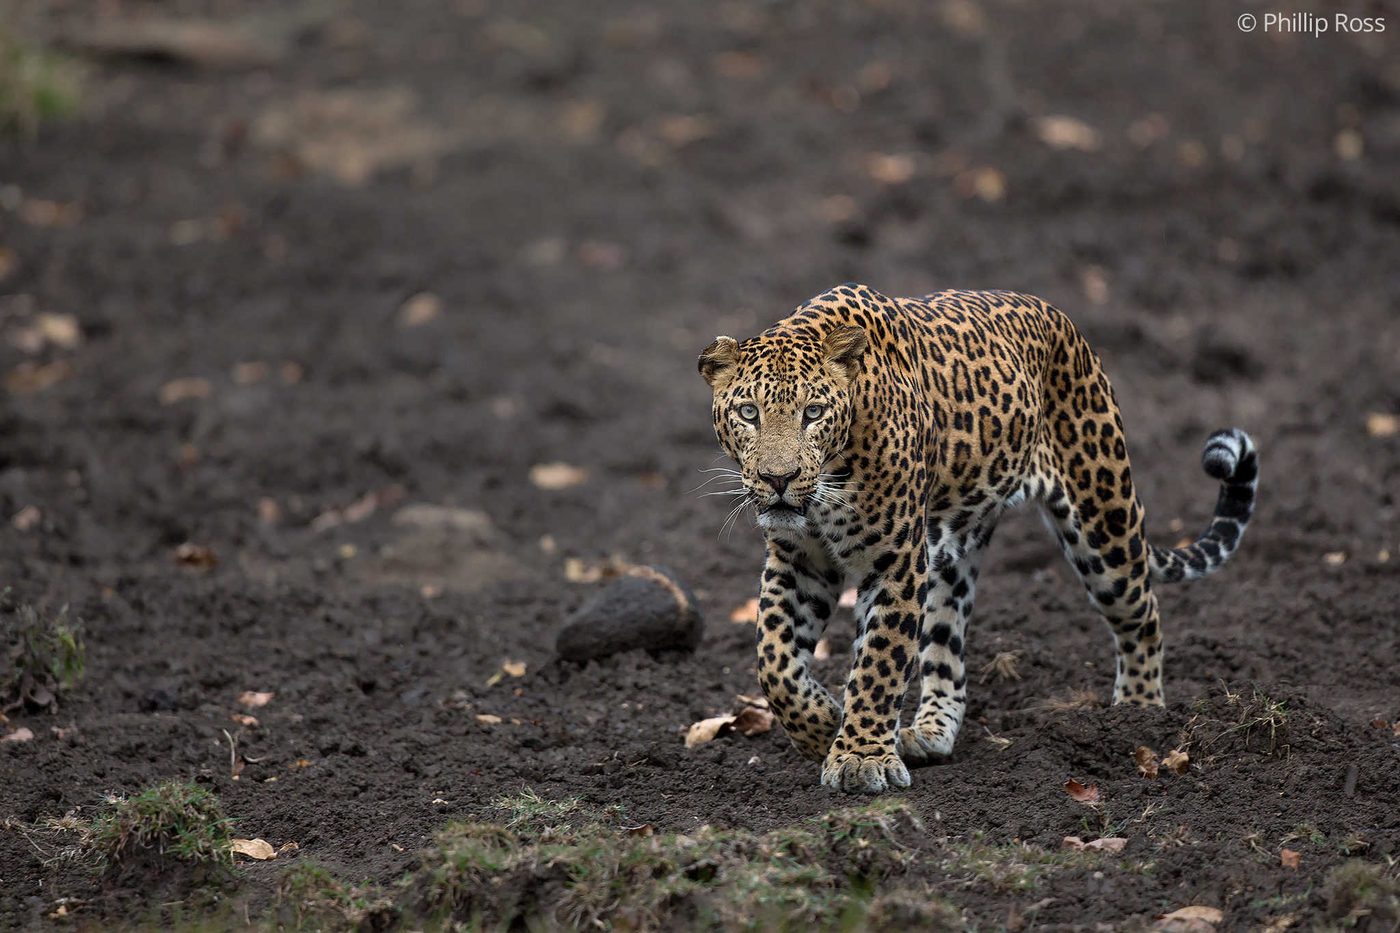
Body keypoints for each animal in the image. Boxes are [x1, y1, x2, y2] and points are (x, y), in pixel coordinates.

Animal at [698, 284, 1258, 794]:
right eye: (748, 413)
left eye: (813, 413)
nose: (778, 479)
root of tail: (1062, 320)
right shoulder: (799, 562)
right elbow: (774, 661)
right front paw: (822, 728)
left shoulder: (896, 563)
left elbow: (879, 662)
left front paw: (860, 757)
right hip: (951, 556)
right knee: (946, 649)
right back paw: (928, 732)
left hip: (1104, 518)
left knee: (1143, 612)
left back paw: (1138, 714)